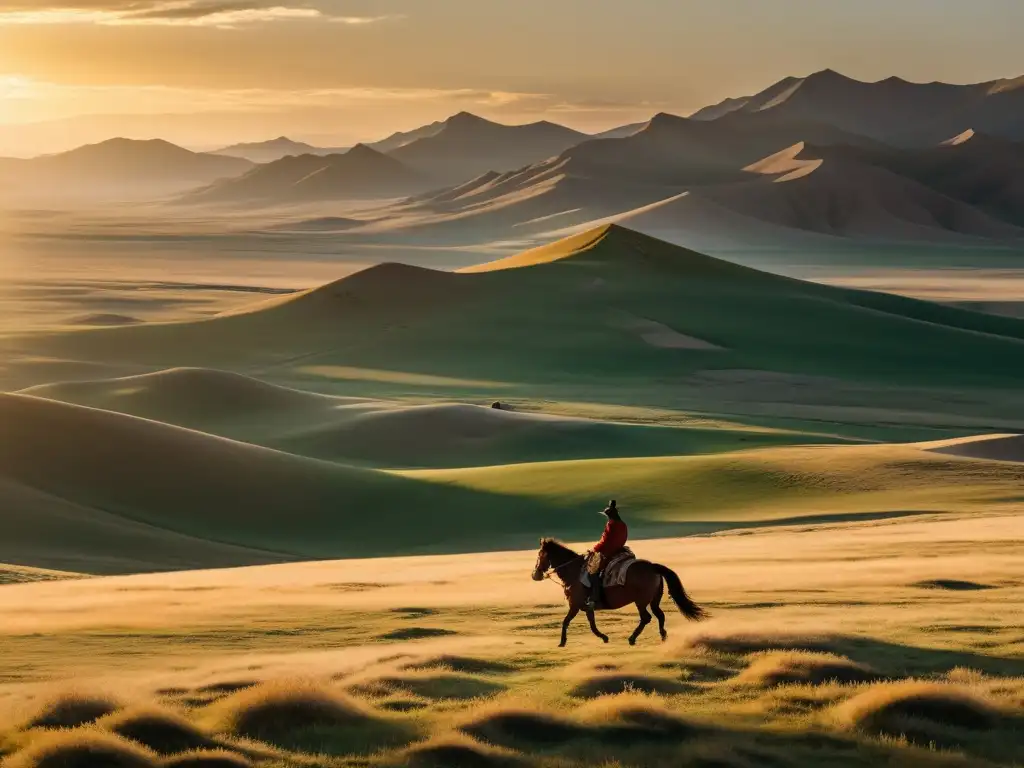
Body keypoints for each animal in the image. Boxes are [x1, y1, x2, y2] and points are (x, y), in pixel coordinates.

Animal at [532, 540, 708, 651]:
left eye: (540, 555)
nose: (535, 575)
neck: (574, 573)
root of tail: (652, 567)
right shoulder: (587, 607)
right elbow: (592, 624)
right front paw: (604, 637)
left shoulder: (574, 605)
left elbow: (566, 622)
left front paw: (562, 642)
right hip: (653, 600)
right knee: (660, 616)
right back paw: (663, 637)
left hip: (641, 601)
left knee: (646, 618)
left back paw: (632, 639)